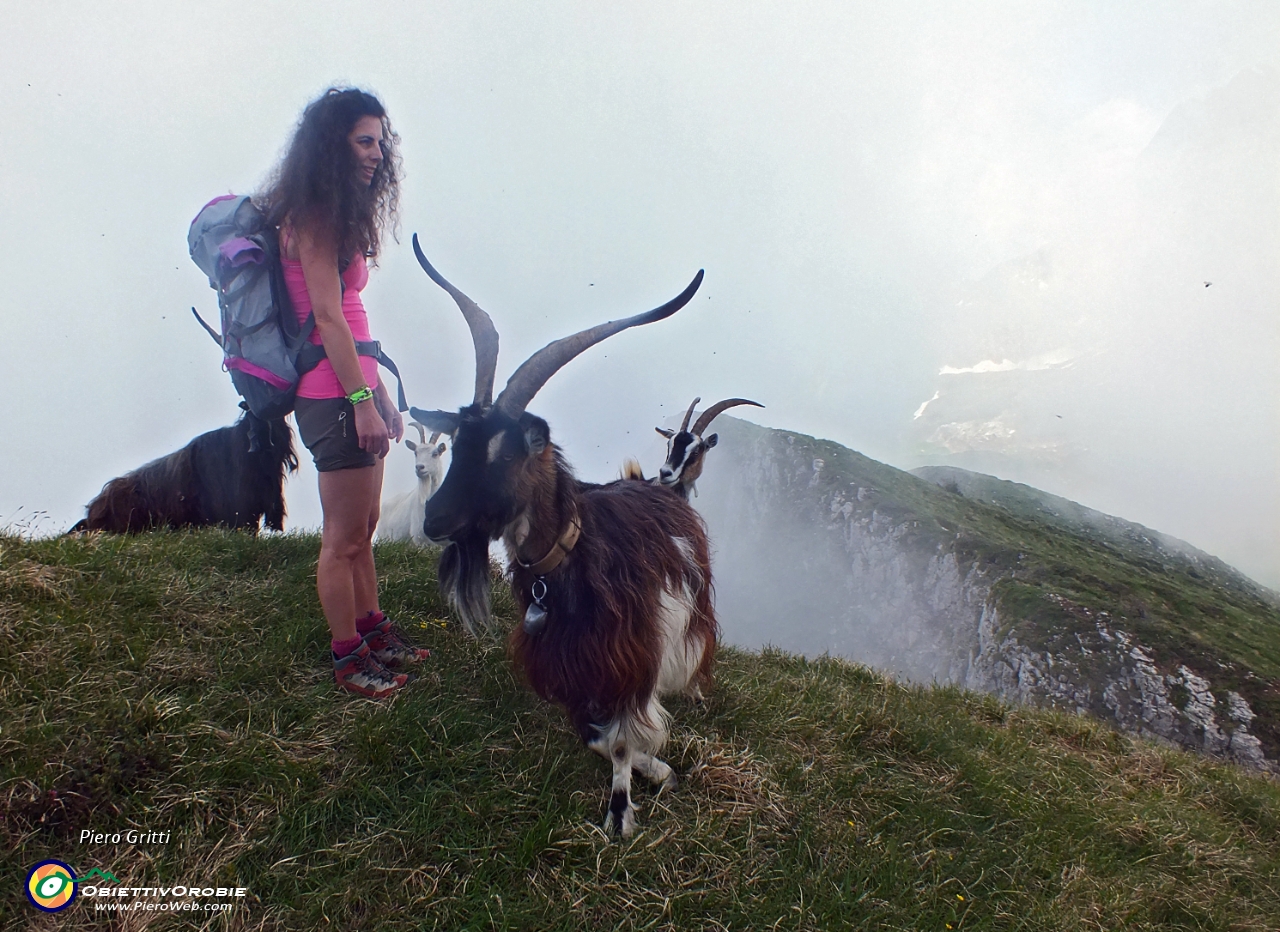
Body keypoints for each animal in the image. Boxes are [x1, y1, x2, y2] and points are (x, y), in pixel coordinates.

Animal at [407, 233, 716, 839]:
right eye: (460, 444)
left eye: (508, 452)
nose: (435, 519)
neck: (570, 559)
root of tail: (658, 486)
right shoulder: (571, 668)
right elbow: (599, 736)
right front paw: (656, 766)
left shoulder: (627, 658)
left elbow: (620, 738)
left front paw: (623, 809)